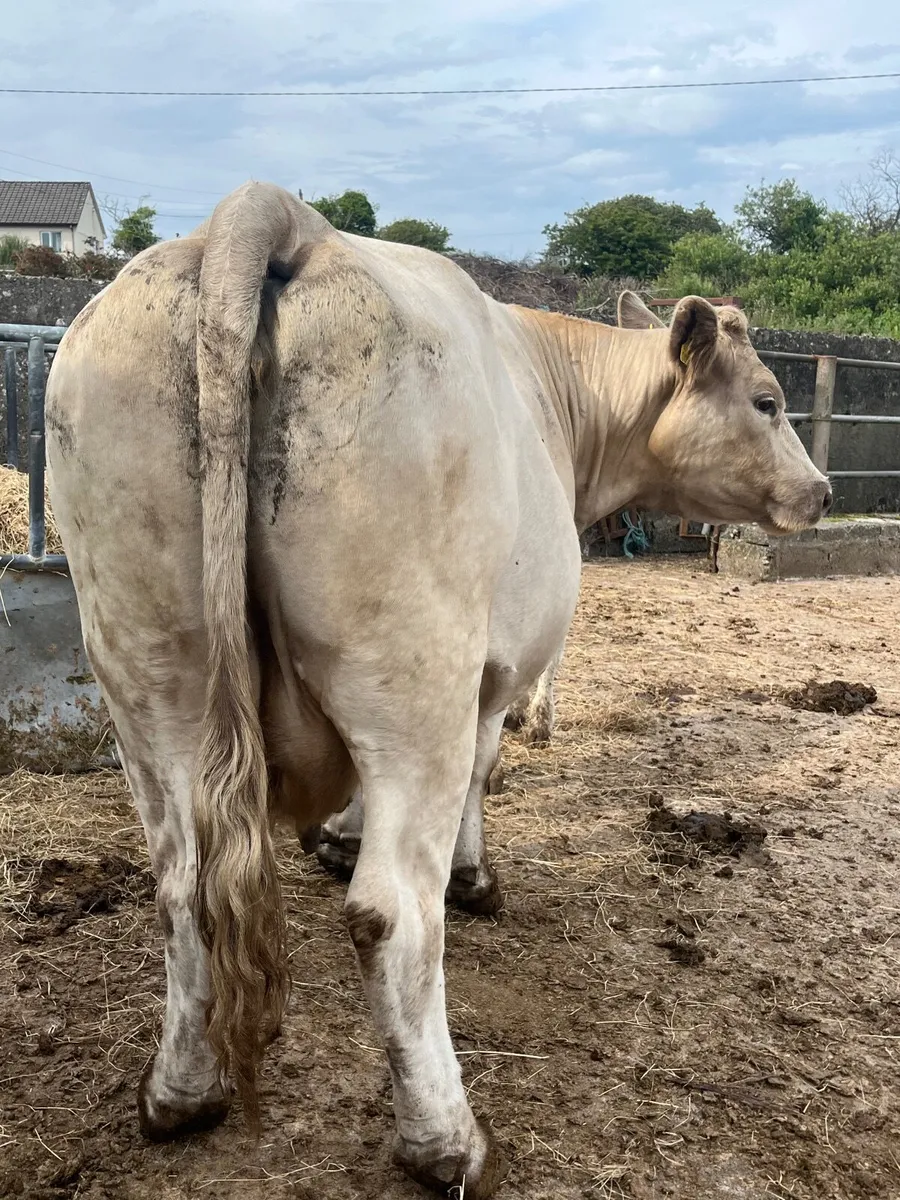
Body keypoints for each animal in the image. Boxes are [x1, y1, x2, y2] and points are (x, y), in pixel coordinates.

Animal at [45, 182, 830, 1198]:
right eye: (768, 401)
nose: (821, 493)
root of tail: (274, 213)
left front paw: (334, 839)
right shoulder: (491, 674)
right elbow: (482, 776)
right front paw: (474, 878)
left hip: (149, 672)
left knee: (184, 887)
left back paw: (179, 1096)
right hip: (411, 671)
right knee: (390, 914)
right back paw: (448, 1139)